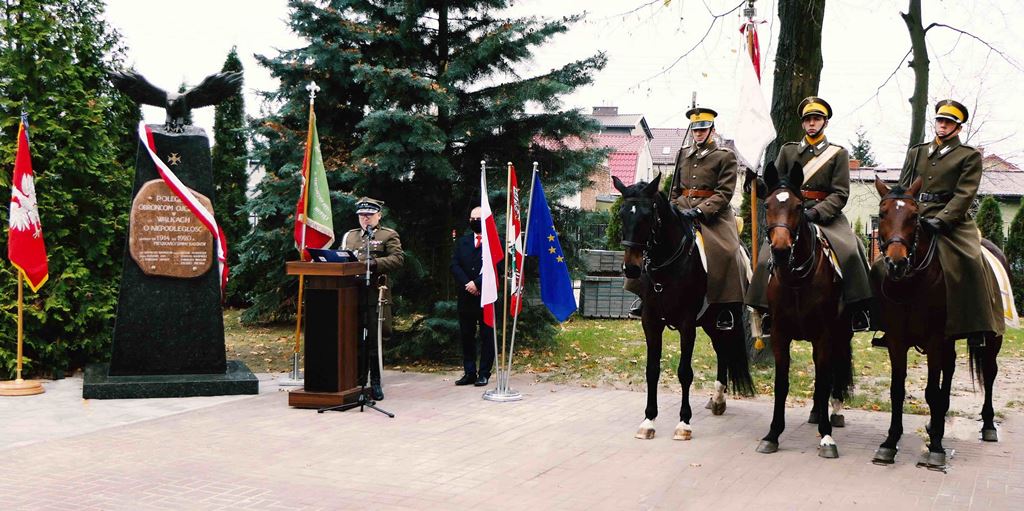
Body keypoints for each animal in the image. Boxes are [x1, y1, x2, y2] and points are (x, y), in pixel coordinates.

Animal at [610, 175, 757, 440]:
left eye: (647, 215)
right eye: (622, 214)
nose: (632, 268)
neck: (667, 266)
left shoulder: (687, 325)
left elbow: (684, 372)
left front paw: (684, 423)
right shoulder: (651, 322)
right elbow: (652, 370)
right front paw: (648, 420)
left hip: (722, 320)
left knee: (724, 351)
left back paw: (718, 398)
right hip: (709, 324)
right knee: (721, 352)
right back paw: (717, 400)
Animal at [753, 163, 856, 460]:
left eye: (799, 206)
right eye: (767, 204)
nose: (780, 250)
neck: (797, 278)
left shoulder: (825, 335)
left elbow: (823, 381)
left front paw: (826, 437)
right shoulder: (779, 335)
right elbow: (782, 384)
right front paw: (772, 434)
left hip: (841, 334)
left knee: (834, 372)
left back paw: (834, 412)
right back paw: (816, 412)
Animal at [868, 178, 1003, 469]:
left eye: (914, 216)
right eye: (882, 214)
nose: (896, 263)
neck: (912, 284)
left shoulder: (934, 340)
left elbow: (931, 391)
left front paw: (937, 448)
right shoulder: (897, 340)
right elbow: (898, 390)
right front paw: (890, 443)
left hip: (992, 340)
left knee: (989, 373)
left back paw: (988, 425)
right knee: (949, 372)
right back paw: (936, 422)